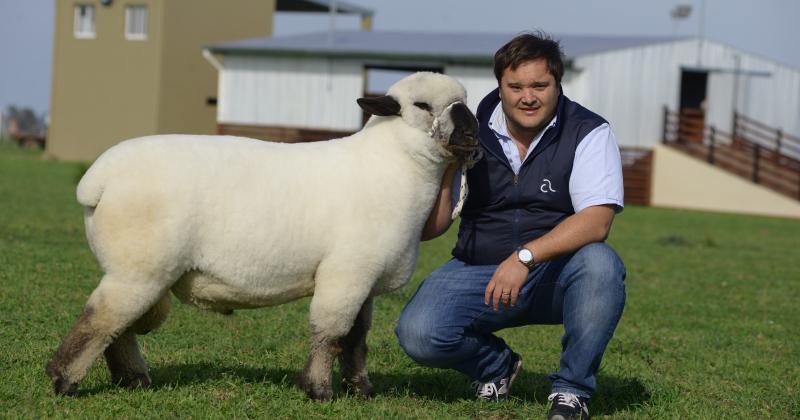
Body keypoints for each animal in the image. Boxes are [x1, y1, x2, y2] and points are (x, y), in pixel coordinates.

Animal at [45, 72, 482, 400]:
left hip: (141, 272)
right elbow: (330, 332)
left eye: (465, 102)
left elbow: (355, 339)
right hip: (139, 268)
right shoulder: (346, 273)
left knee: (117, 328)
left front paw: (360, 390)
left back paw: (131, 380)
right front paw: (318, 390)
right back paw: (64, 380)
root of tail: (98, 178)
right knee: (101, 322)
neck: (393, 166)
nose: (471, 132)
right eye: (422, 106)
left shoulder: (366, 279)